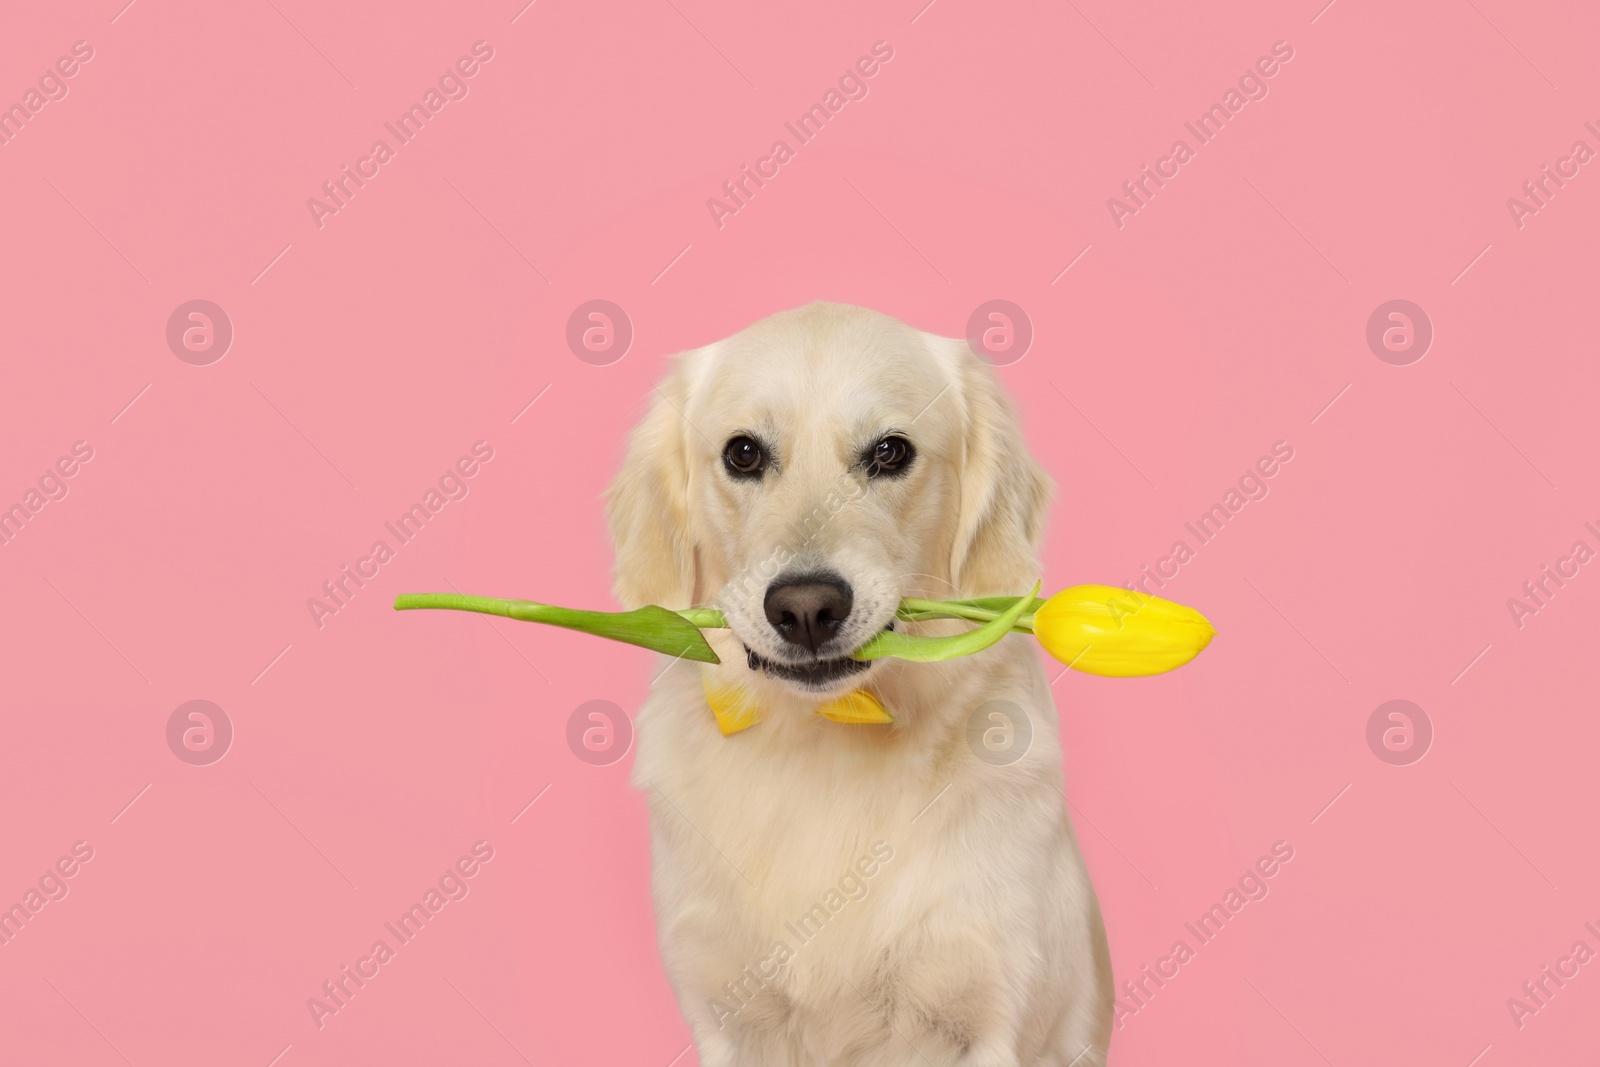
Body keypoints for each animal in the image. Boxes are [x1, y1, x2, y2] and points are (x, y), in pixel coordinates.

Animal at [604, 302, 1107, 1067]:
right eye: (743, 454)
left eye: (891, 452)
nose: (806, 608)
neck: (830, 741)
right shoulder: (726, 1014)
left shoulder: (988, 1010)